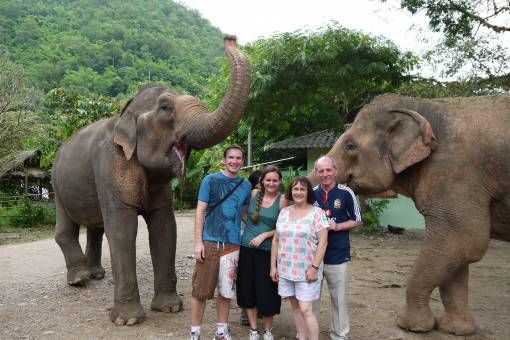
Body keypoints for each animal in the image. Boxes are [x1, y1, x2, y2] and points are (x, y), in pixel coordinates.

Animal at [51, 35, 251, 326]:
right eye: (165, 107)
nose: (230, 38)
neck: (125, 112)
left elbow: (165, 226)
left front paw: (169, 308)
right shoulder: (110, 164)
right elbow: (122, 228)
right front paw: (127, 321)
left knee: (96, 228)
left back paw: (96, 274)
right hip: (56, 185)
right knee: (66, 229)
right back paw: (80, 279)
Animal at [326, 92, 510, 334]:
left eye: (350, 146)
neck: (419, 104)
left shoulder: (455, 173)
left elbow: (464, 240)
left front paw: (410, 325)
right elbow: (460, 251)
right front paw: (455, 330)